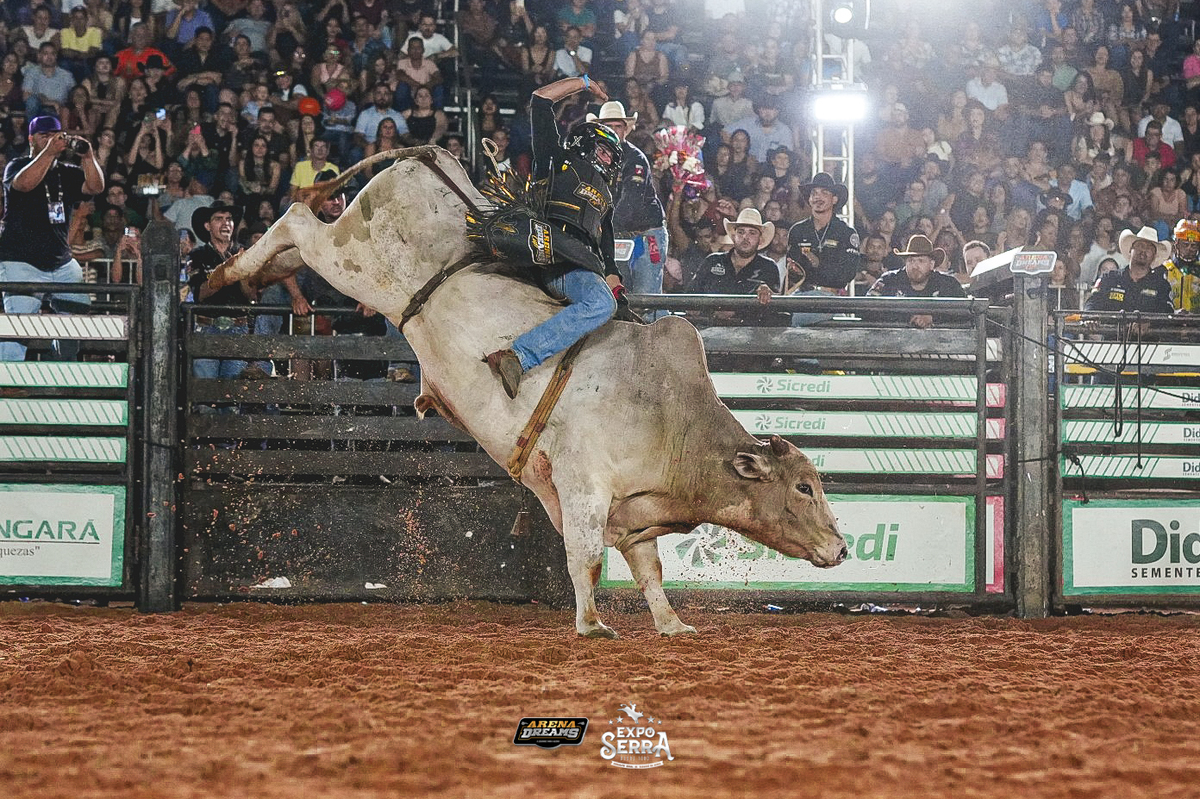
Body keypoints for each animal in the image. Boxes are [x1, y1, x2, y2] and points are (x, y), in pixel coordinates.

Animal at [209, 146, 847, 638]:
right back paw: (226, 272)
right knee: (297, 219)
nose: (842, 549)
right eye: (804, 487)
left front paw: (671, 624)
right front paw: (592, 624)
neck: (671, 420)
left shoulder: (633, 511)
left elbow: (649, 569)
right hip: (355, 262)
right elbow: (585, 559)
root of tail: (434, 158)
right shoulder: (581, 484)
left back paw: (256, 274)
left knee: (297, 237)